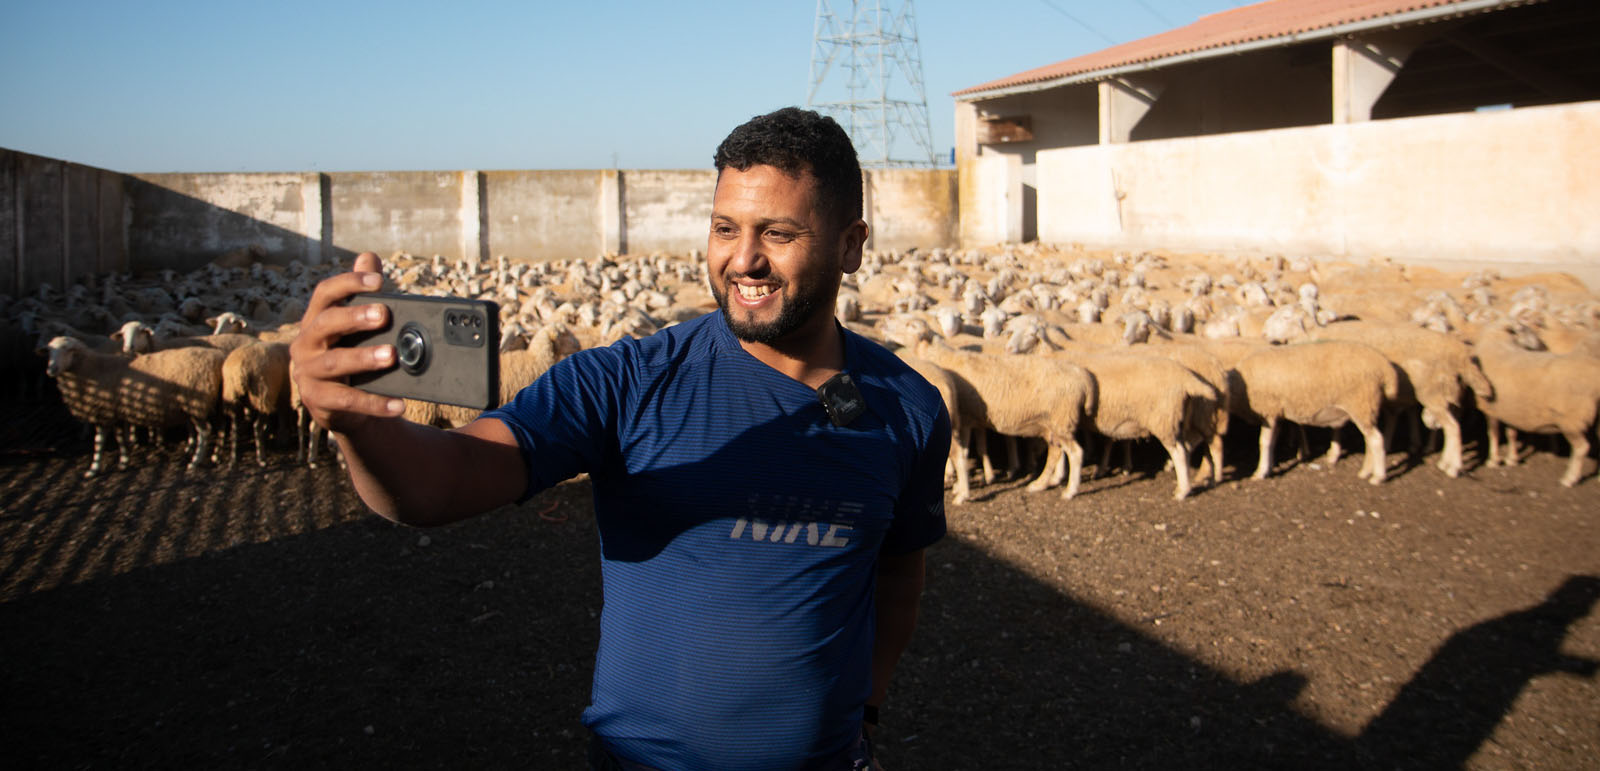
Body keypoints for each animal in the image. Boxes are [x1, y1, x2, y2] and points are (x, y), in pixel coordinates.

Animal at [41, 335, 227, 476]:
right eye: (49, 351)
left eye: (68, 350)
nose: (51, 370)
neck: (92, 369)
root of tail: (218, 357)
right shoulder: (114, 411)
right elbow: (118, 438)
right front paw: (122, 462)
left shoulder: (104, 411)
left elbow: (99, 442)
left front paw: (94, 469)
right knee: (218, 428)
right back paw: (213, 455)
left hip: (195, 404)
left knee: (205, 432)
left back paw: (195, 461)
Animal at [1228, 342, 1395, 483]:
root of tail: (1385, 367)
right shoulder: (1277, 415)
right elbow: (1272, 442)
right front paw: (1268, 468)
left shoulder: (1269, 412)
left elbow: (1264, 442)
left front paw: (1260, 472)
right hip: (1366, 410)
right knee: (1369, 440)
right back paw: (1365, 471)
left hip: (1361, 404)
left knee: (1376, 440)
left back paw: (1378, 477)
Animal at [1312, 319, 1497, 476]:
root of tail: (1462, 354)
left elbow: (1338, 425)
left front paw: (1333, 452)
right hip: (1449, 393)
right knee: (1451, 424)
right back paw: (1442, 458)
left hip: (1433, 393)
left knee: (1452, 427)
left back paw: (1452, 466)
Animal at [1465, 321, 1600, 486]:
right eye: (1524, 330)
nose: (1542, 345)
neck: (1497, 340)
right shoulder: (1508, 409)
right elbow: (1511, 433)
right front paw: (1512, 458)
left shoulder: (1491, 409)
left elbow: (1493, 434)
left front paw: (1493, 460)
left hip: (1572, 421)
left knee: (1581, 448)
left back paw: (1569, 478)